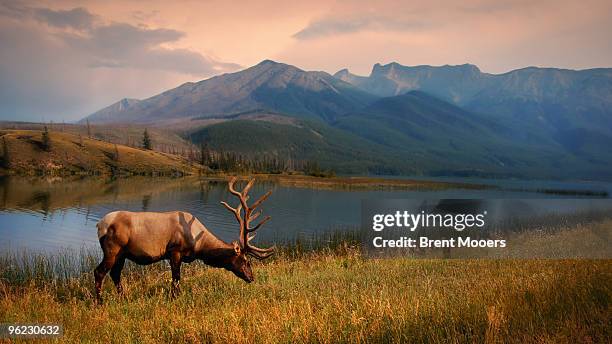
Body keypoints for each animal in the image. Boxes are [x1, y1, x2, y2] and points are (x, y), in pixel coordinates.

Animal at [94, 177, 274, 300]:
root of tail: (99, 225)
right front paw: (175, 298)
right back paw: (99, 302)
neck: (198, 245)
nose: (251, 277)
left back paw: (123, 297)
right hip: (112, 249)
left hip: (122, 254)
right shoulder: (175, 251)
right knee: (99, 272)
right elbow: (176, 278)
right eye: (246, 260)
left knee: (115, 274)